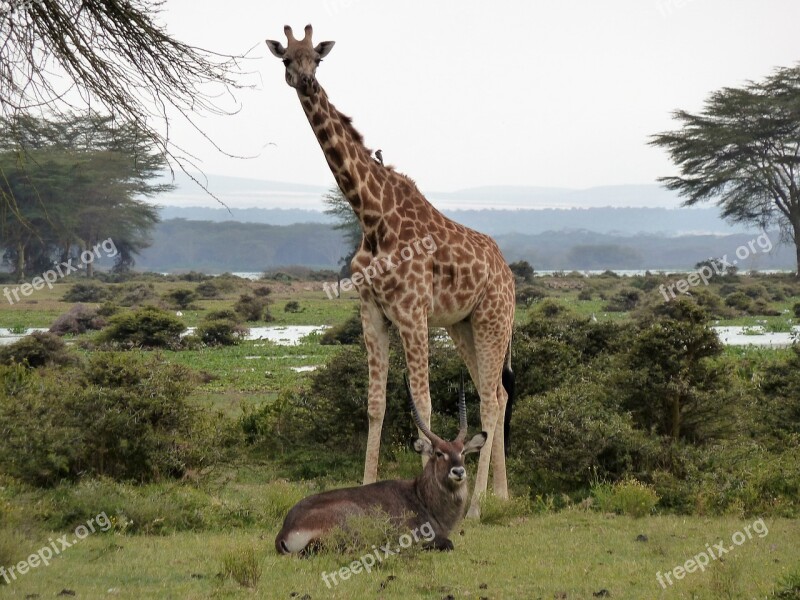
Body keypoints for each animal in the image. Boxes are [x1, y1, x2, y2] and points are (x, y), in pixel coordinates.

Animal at [266, 25, 516, 516]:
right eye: (286, 59)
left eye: (317, 59)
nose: (305, 82)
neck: (371, 217)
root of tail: (510, 275)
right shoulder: (372, 311)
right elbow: (375, 404)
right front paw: (365, 485)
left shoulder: (412, 313)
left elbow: (423, 403)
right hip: (463, 324)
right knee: (494, 393)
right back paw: (501, 494)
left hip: (492, 319)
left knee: (491, 401)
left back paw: (479, 503)